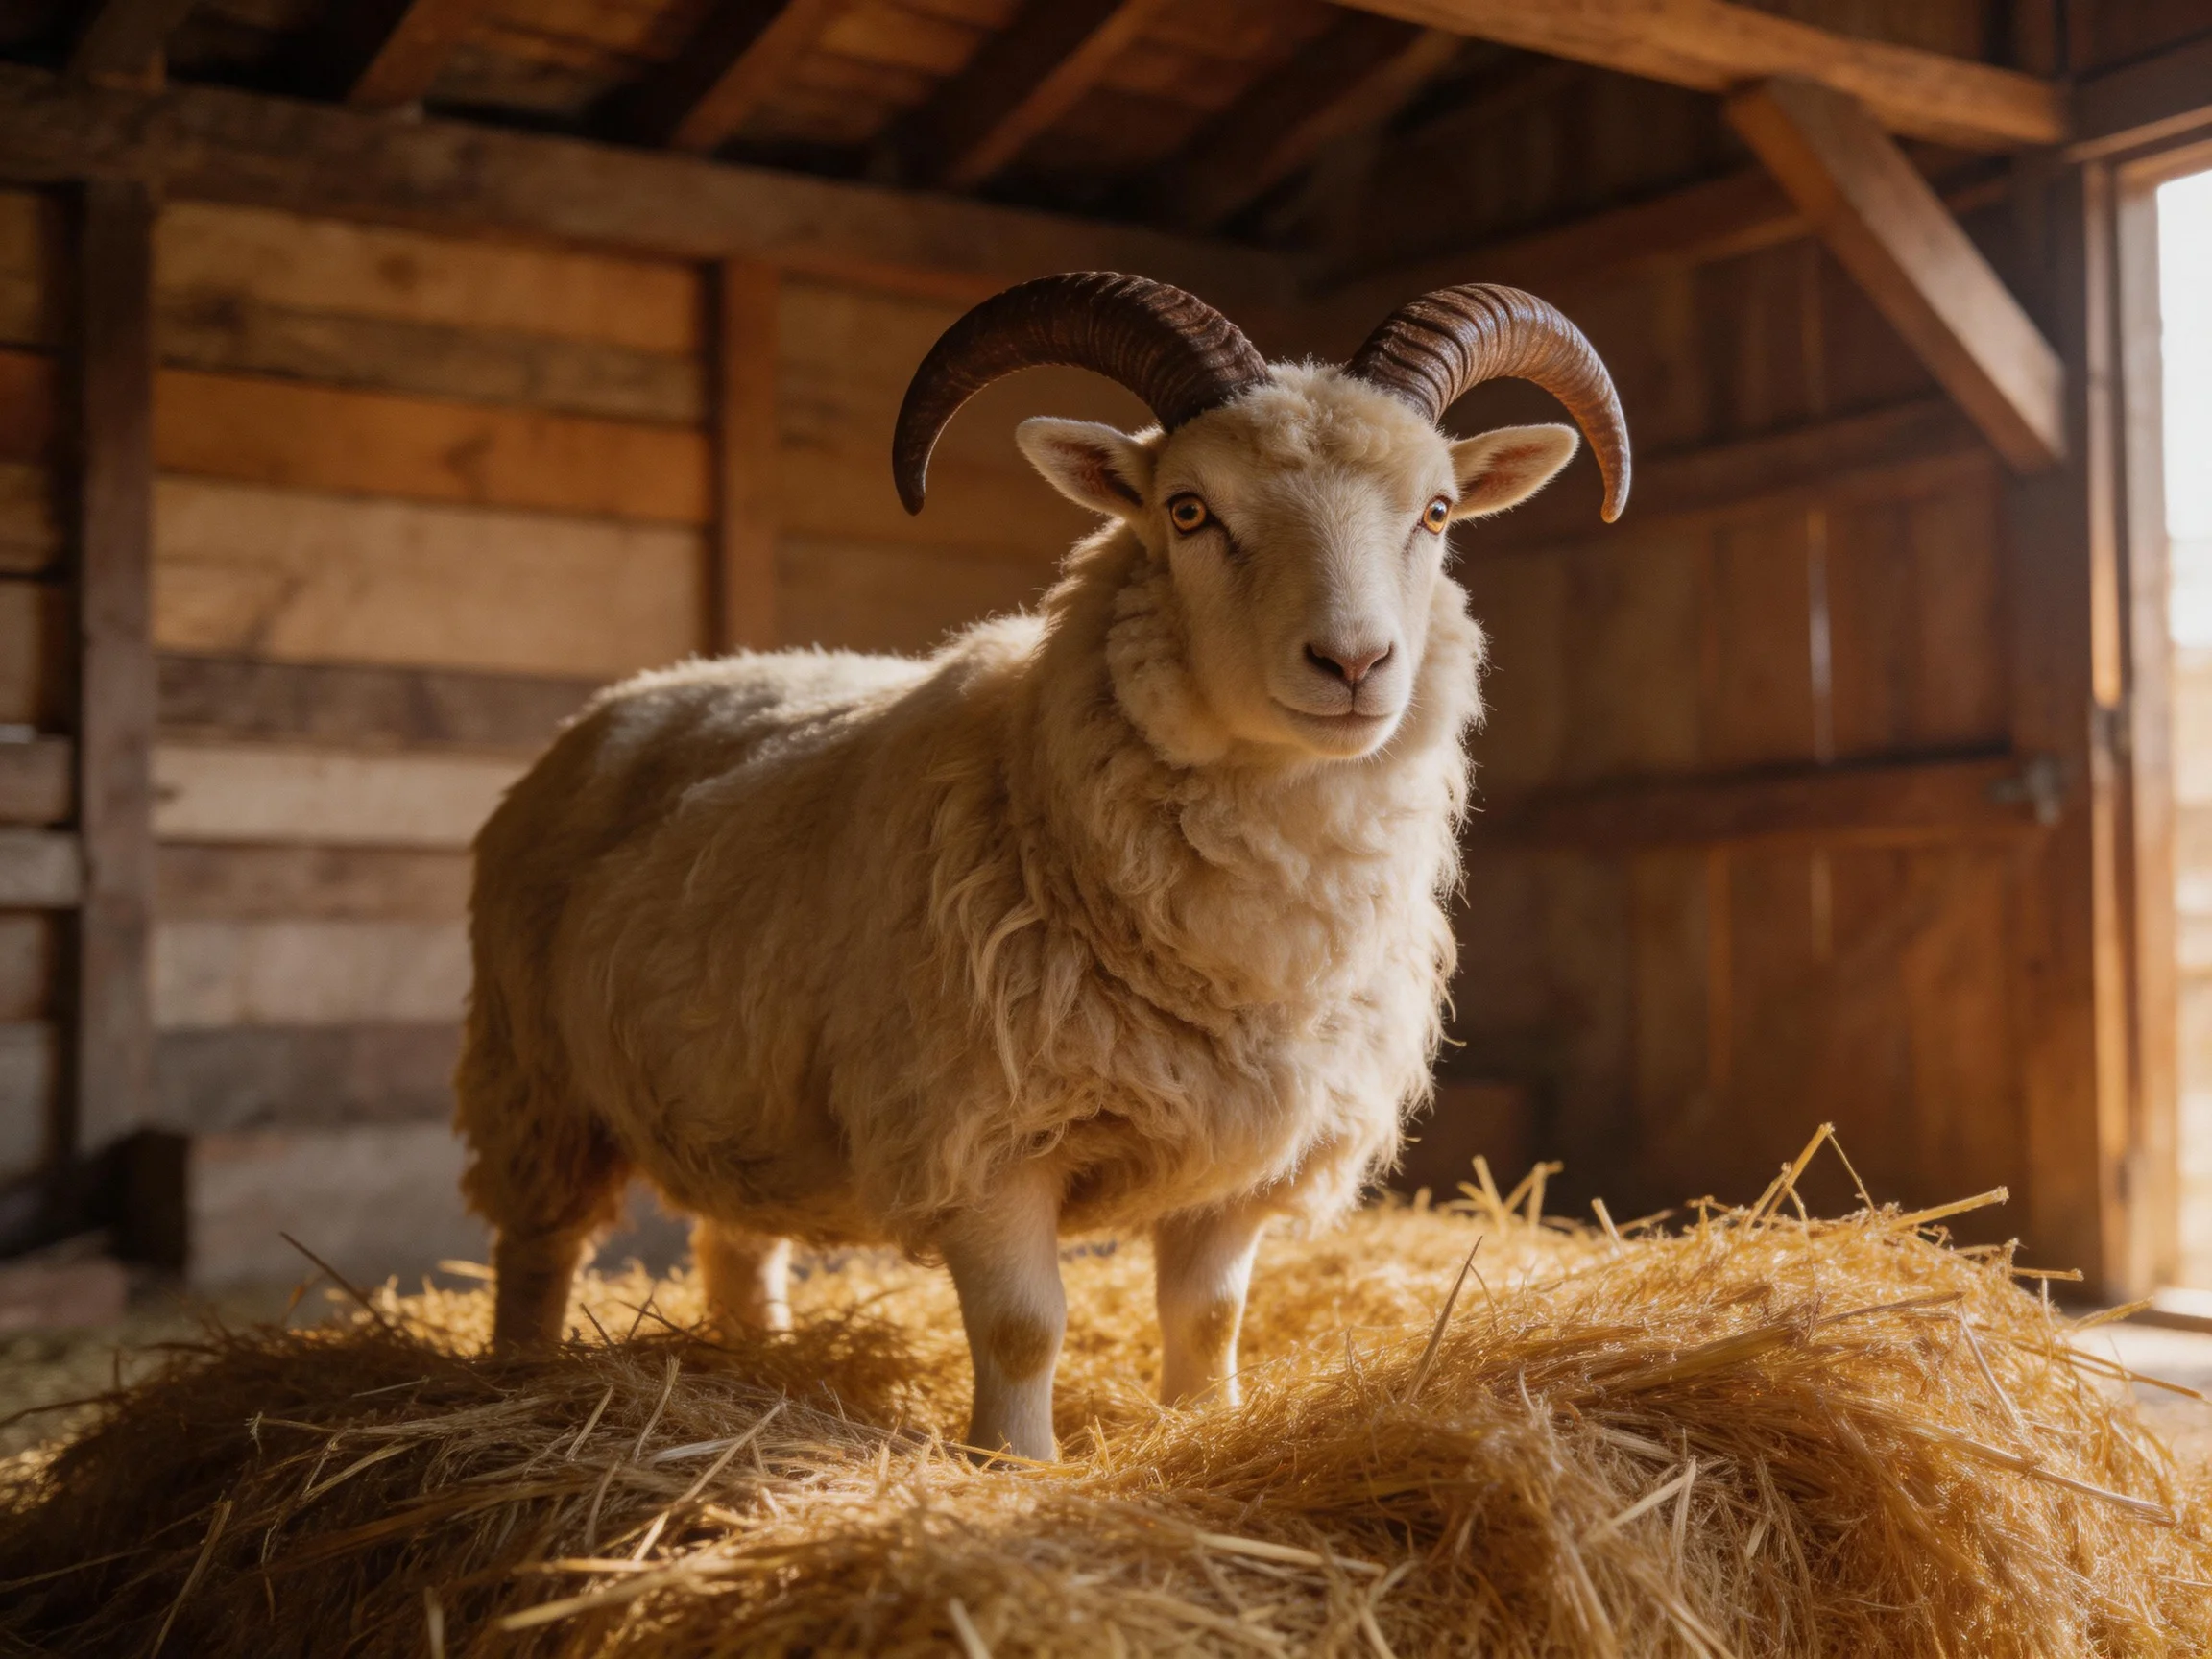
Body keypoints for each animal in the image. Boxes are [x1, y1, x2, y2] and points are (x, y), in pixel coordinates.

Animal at [457, 274, 1630, 1461]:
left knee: (737, 1244)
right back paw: (517, 1379)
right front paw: (1017, 1466)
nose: (1354, 664)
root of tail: (643, 694)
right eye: (1189, 510)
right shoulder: (980, 1136)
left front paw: (1206, 1424)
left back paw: (760, 1362)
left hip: (737, 1095)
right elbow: (1026, 1328)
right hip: (535, 1078)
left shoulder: (1240, 1157)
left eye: (1436, 512)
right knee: (536, 1246)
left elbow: (1211, 1317)